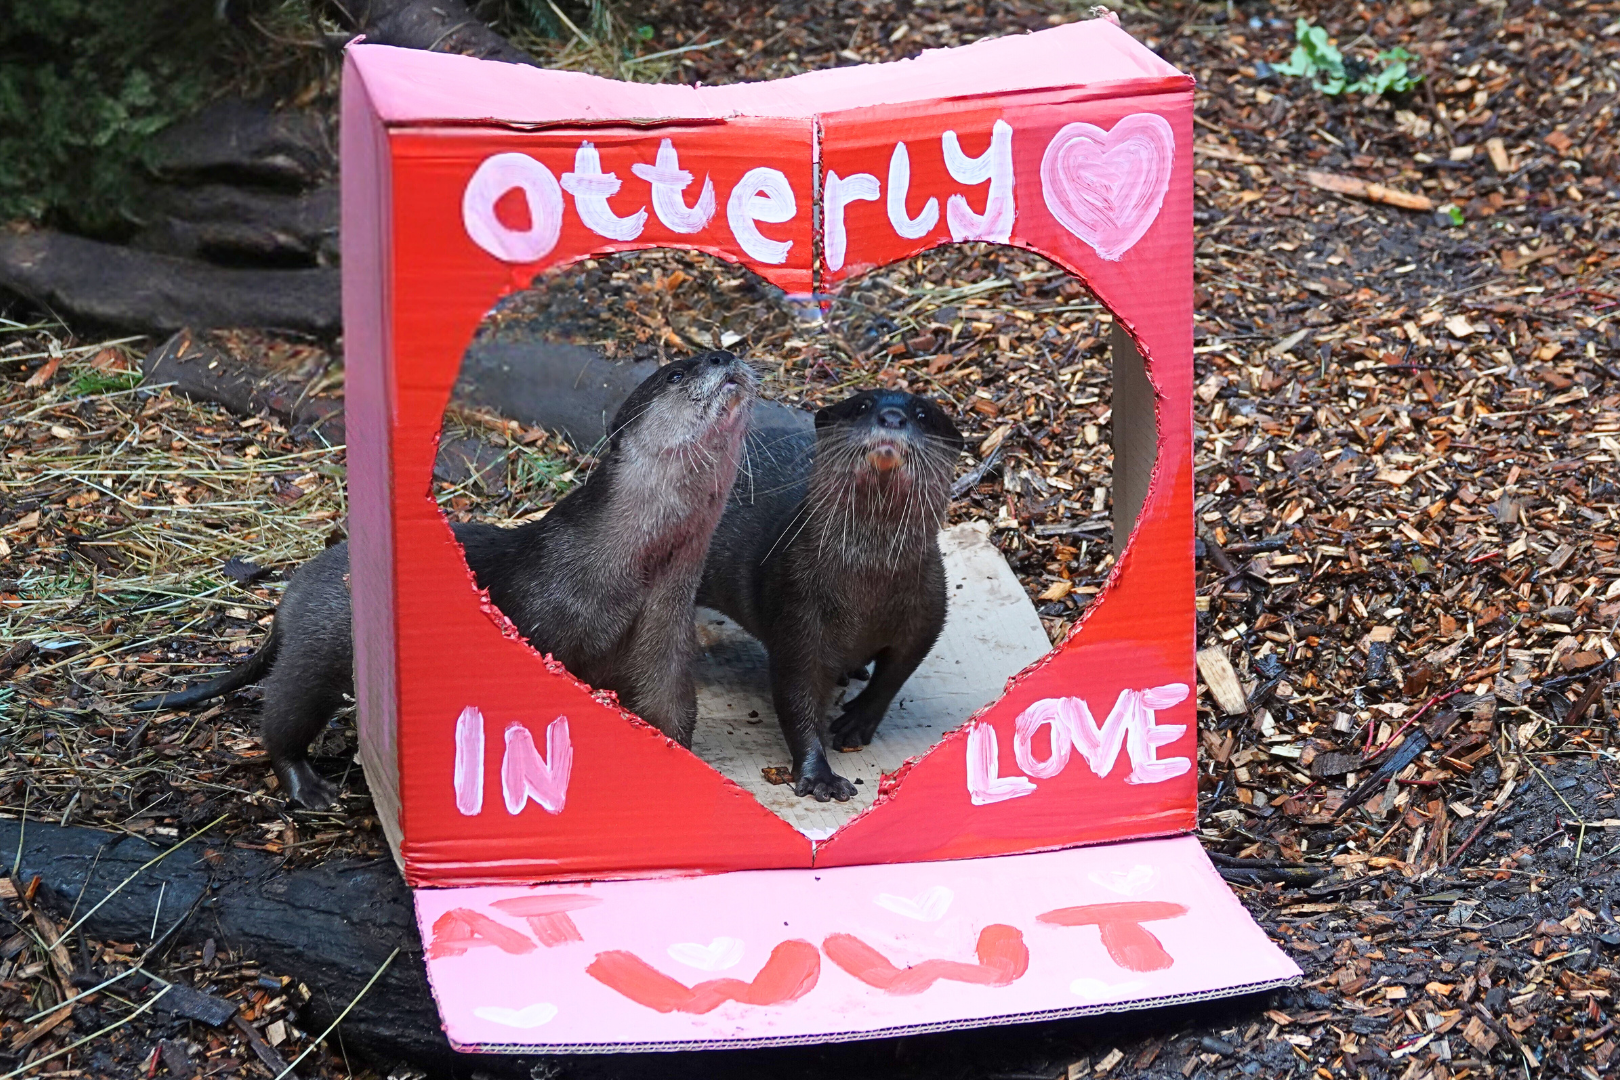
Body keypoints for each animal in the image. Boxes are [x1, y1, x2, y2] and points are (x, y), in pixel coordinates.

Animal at [133, 351, 757, 808]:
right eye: (677, 372)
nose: (726, 355)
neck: (612, 572)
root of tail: (292, 592)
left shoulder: (664, 651)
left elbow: (670, 718)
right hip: (319, 648)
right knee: (282, 716)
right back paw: (309, 788)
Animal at [698, 389, 965, 802]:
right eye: (862, 406)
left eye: (923, 415)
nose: (892, 416)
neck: (867, 593)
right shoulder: (796, 611)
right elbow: (796, 696)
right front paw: (819, 774)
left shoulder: (927, 614)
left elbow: (895, 675)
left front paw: (857, 720)